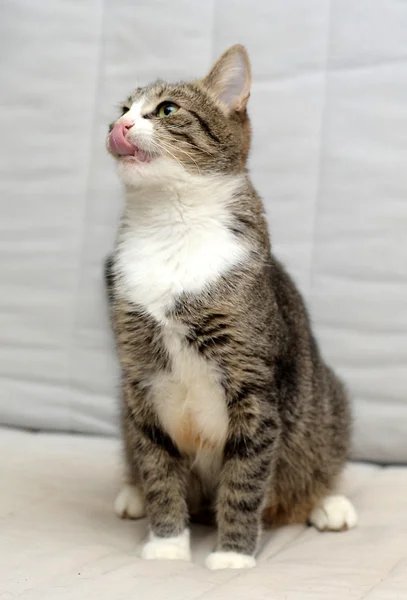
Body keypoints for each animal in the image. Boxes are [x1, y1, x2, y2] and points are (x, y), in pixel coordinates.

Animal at [105, 44, 356, 568]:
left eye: (167, 110)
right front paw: (167, 543)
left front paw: (234, 556)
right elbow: (157, 463)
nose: (119, 124)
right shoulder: (140, 376)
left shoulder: (253, 382)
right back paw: (133, 494)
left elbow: (245, 477)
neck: (171, 224)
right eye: (123, 108)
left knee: (317, 461)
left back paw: (328, 502)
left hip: (326, 402)